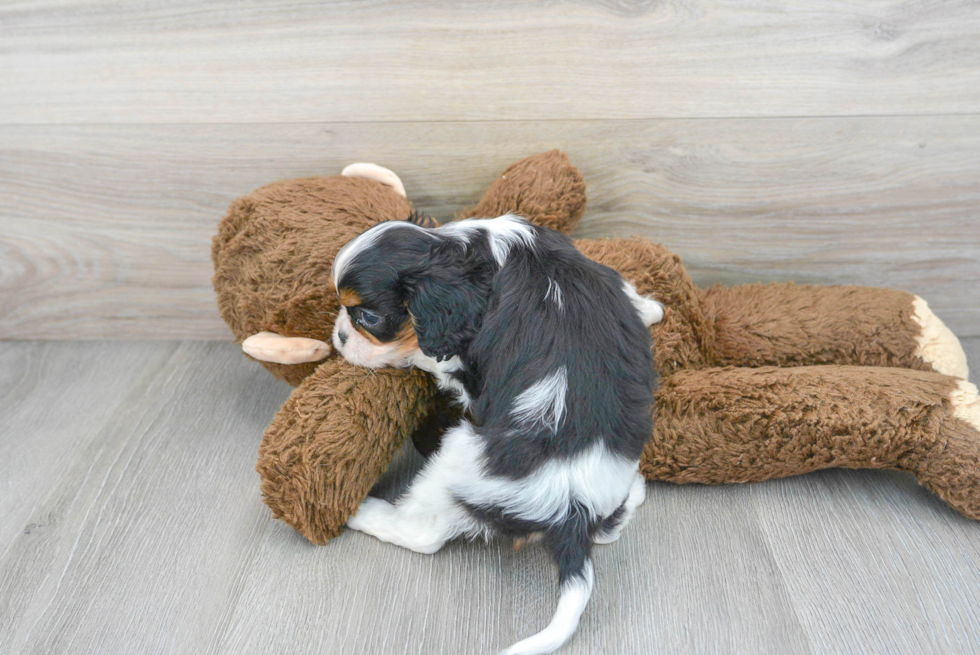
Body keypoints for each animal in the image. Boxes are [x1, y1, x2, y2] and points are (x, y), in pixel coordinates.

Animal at [334, 217, 664, 655]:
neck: (474, 253)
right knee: (611, 528)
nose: (338, 335)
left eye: (368, 317)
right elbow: (624, 287)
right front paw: (650, 308)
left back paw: (362, 512)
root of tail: (573, 514)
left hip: (458, 454)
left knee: (424, 533)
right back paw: (635, 492)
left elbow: (429, 357)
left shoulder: (461, 364)